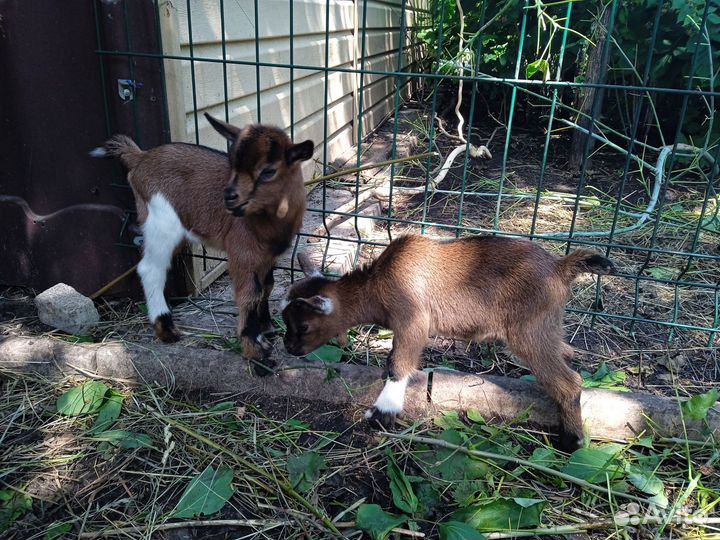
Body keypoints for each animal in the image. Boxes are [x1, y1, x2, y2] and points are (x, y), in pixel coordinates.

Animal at [92, 114, 314, 372]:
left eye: (268, 171)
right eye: (233, 163)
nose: (229, 197)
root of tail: (140, 157)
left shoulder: (269, 256)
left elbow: (267, 286)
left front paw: (267, 329)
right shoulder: (242, 253)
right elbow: (250, 294)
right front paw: (257, 355)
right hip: (161, 220)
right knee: (150, 269)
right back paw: (166, 329)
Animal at [281, 235, 614, 451]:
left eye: (304, 325)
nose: (288, 349)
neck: (376, 285)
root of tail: (560, 267)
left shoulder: (413, 319)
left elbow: (398, 363)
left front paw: (383, 412)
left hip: (528, 332)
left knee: (568, 382)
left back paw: (572, 442)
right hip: (547, 326)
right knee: (566, 353)